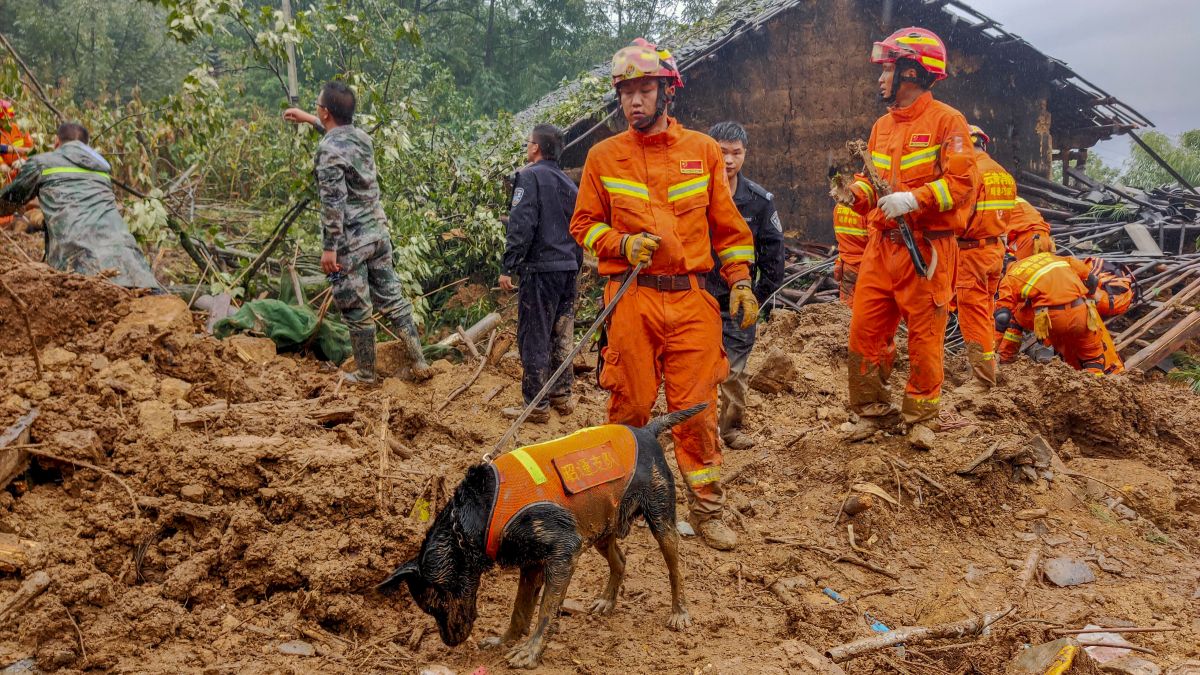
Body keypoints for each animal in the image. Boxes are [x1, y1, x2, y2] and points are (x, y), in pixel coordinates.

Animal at [379, 398, 705, 667]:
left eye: (435, 605)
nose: (449, 642)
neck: (475, 516)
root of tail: (647, 431)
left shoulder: (563, 552)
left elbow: (546, 611)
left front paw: (531, 652)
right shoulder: (531, 563)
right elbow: (520, 610)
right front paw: (505, 641)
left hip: (660, 517)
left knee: (675, 568)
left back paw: (679, 611)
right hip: (602, 522)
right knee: (620, 560)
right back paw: (607, 601)